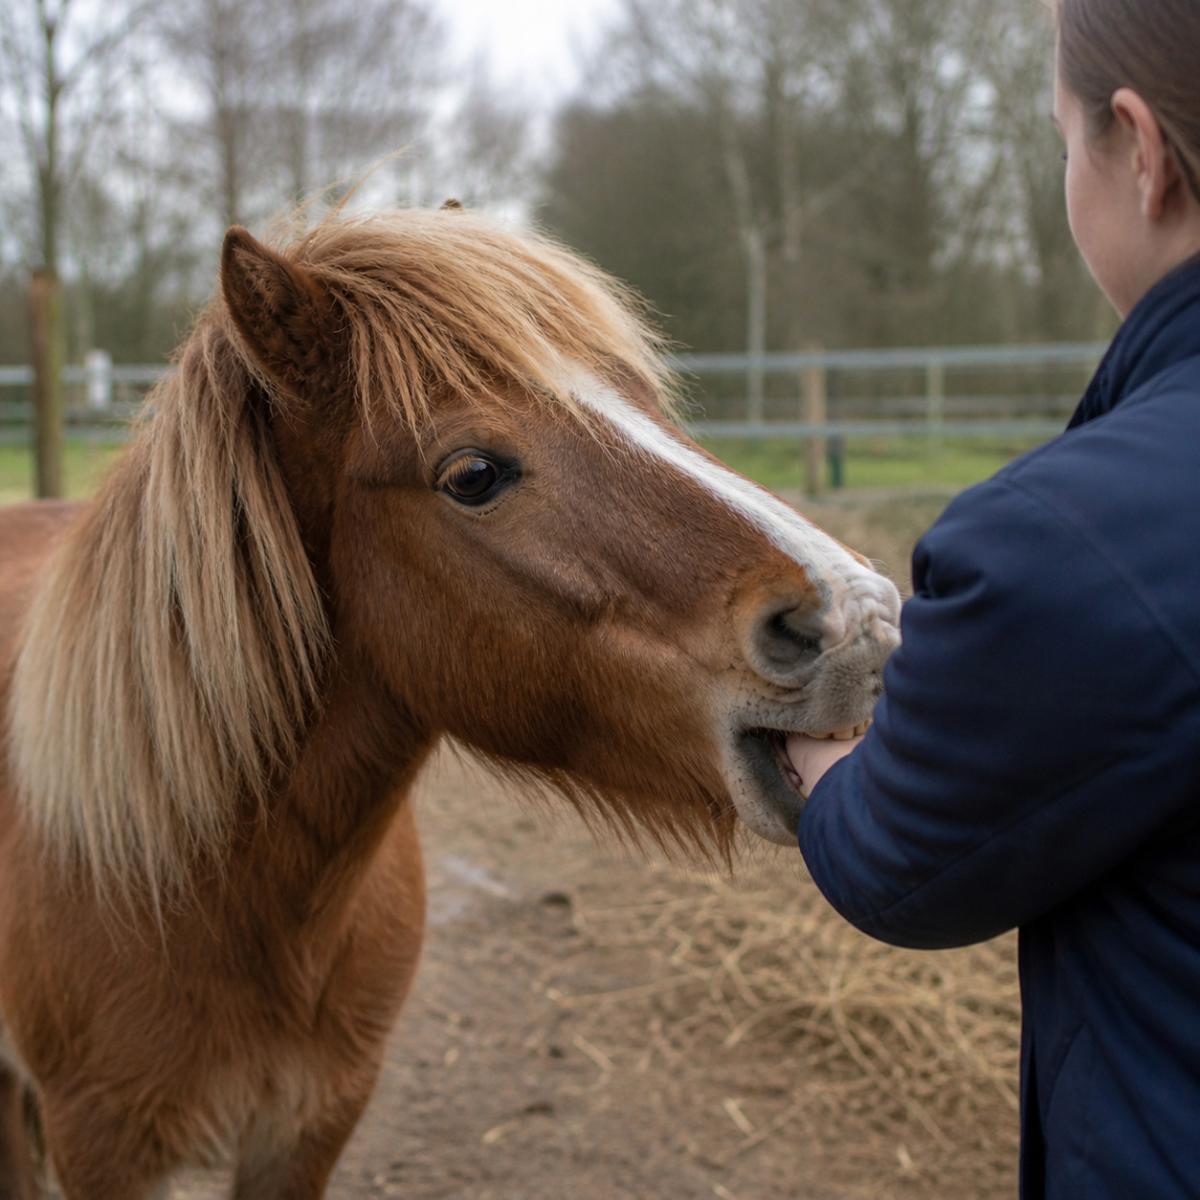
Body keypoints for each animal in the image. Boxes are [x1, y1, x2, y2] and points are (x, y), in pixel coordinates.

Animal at [0, 206, 901, 1198]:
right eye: (473, 474)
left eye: (646, 400)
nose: (860, 622)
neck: (216, 890)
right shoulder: (106, 1146)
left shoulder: (313, 1122)